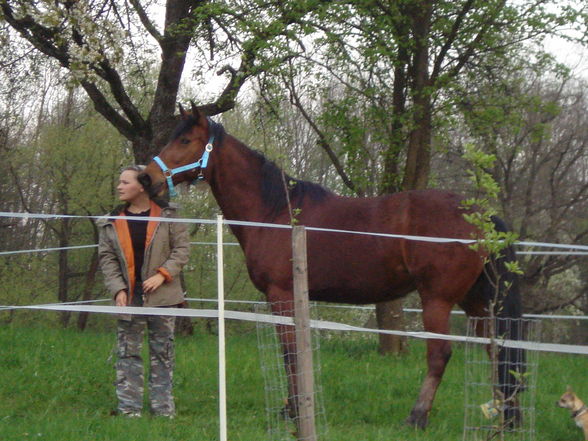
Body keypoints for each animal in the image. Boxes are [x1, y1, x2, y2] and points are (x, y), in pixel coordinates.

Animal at [141, 103, 524, 426]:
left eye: (185, 139)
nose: (147, 178)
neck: (276, 210)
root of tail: (481, 215)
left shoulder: (281, 294)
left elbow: (290, 353)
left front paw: (295, 410)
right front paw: (291, 408)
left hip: (438, 300)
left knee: (440, 354)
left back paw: (417, 417)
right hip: (476, 300)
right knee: (496, 349)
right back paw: (505, 416)